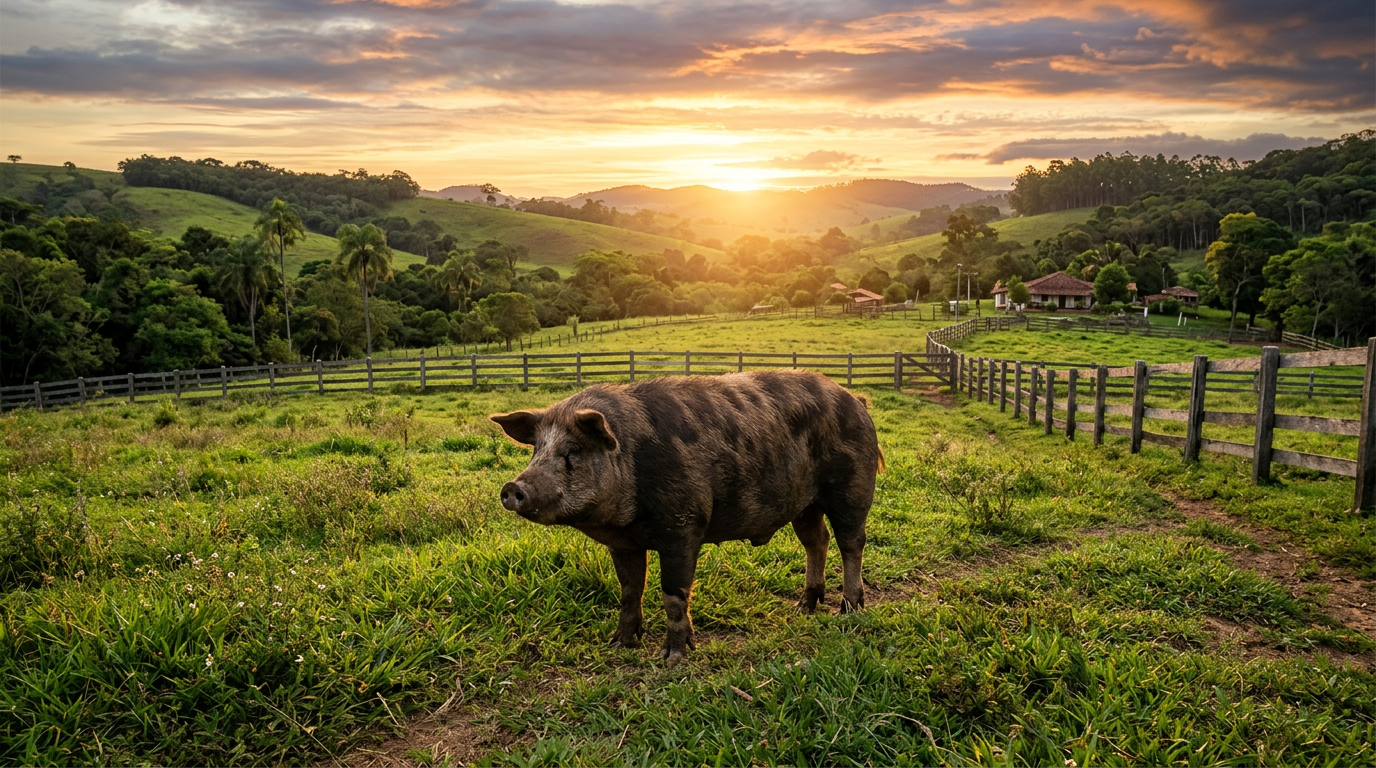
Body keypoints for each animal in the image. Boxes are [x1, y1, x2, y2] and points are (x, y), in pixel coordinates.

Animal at [490, 369, 881, 665]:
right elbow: (630, 589)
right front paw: (618, 644)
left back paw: (847, 611)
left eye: (573, 451)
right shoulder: (625, 543)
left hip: (852, 489)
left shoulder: (683, 524)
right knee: (817, 541)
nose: (512, 487)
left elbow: (673, 592)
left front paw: (672, 658)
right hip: (804, 504)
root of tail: (857, 401)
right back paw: (804, 608)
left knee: (851, 542)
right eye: (536, 451)